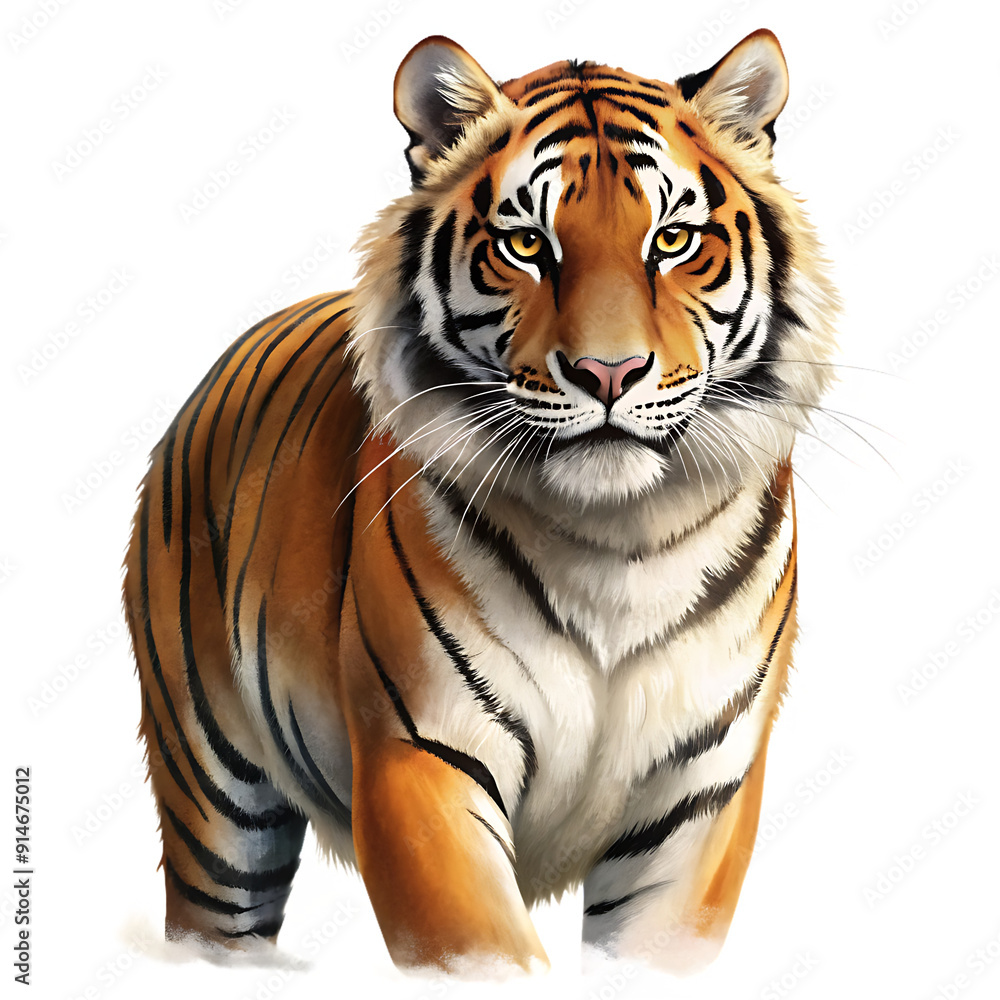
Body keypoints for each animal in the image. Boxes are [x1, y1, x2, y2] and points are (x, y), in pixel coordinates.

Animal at [122, 29, 837, 975]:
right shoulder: (422, 757)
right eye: (528, 244)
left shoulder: (699, 792)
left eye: (675, 240)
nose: (609, 372)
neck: (617, 543)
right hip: (214, 802)